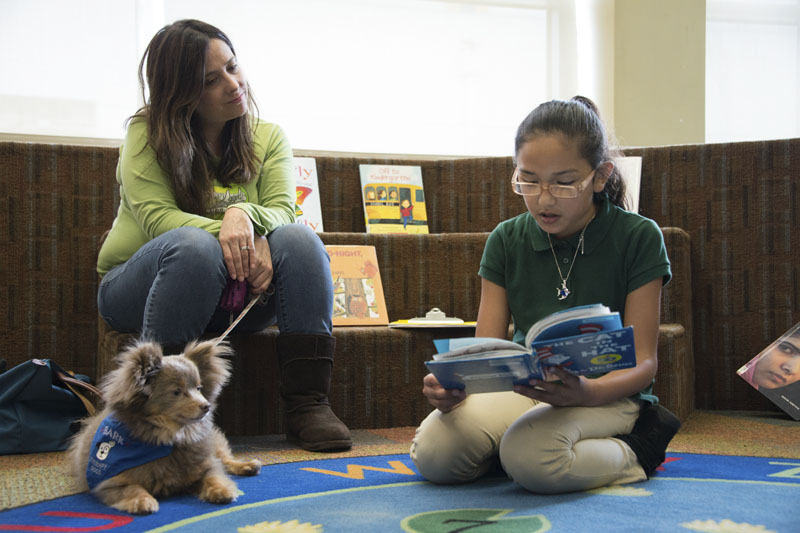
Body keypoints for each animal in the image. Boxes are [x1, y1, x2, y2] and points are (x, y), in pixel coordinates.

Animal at [68, 338, 262, 512]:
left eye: (199, 388)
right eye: (176, 392)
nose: (206, 406)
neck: (170, 437)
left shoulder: (205, 466)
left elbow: (213, 476)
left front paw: (221, 491)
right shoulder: (110, 483)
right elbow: (132, 488)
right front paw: (143, 501)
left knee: (224, 458)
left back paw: (248, 466)